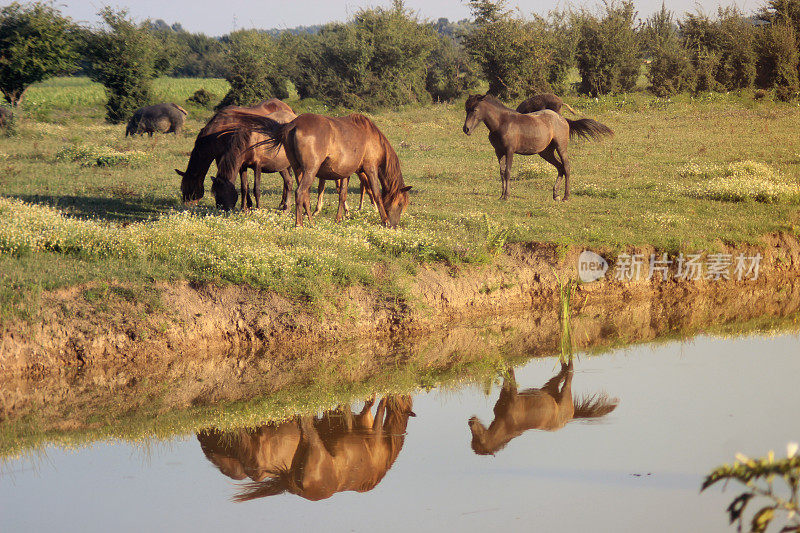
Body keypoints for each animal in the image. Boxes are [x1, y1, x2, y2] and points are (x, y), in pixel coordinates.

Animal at [220, 111, 412, 228]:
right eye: (400, 204)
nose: (395, 225)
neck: (372, 137)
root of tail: (293, 125)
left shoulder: (346, 173)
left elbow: (342, 195)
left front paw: (339, 218)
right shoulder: (370, 168)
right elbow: (377, 195)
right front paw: (385, 221)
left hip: (298, 169)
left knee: (304, 195)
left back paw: (311, 221)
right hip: (310, 170)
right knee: (300, 192)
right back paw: (299, 224)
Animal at [462, 92, 612, 201]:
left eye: (475, 109)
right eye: (466, 109)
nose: (466, 129)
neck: (502, 123)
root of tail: (563, 119)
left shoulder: (509, 151)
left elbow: (508, 172)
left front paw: (506, 196)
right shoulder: (498, 152)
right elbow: (501, 172)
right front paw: (501, 195)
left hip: (561, 147)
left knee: (567, 167)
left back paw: (565, 196)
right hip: (546, 152)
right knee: (560, 167)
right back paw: (555, 195)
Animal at [468, 360, 620, 456]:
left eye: (480, 441)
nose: (471, 421)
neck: (506, 423)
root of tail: (569, 418)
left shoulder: (513, 395)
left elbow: (510, 376)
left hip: (564, 395)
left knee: (569, 375)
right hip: (550, 389)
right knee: (562, 372)